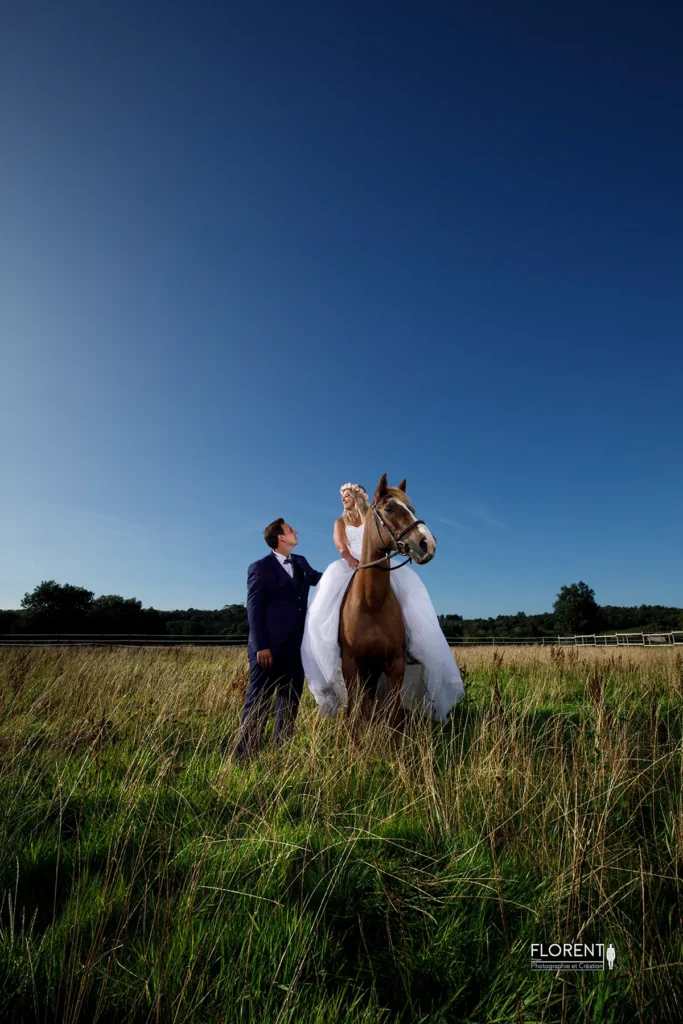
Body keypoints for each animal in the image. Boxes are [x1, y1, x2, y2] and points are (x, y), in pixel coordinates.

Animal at [337, 471, 438, 737]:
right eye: (390, 508)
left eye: (412, 508)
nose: (428, 544)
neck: (371, 603)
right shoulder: (352, 666)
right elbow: (355, 717)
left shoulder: (395, 665)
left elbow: (393, 718)